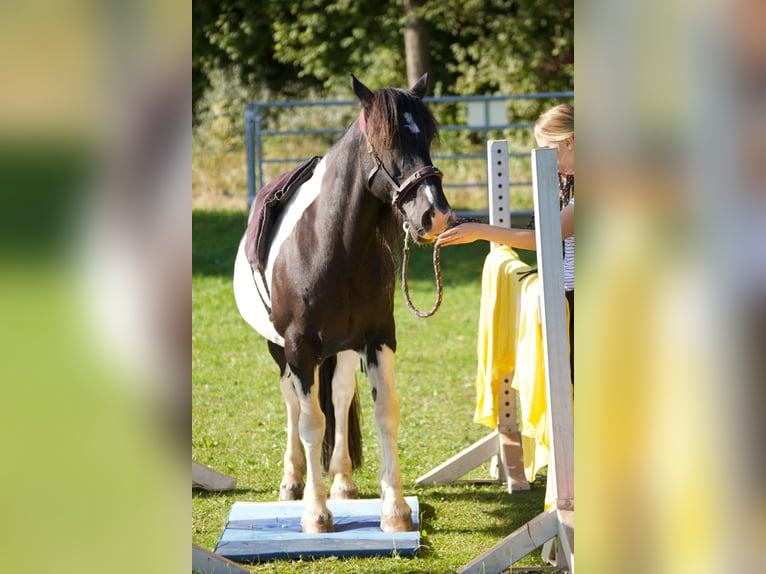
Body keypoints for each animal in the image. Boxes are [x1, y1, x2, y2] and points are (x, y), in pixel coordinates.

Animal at [233, 73, 453, 533]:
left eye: (426, 137)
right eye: (386, 141)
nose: (435, 216)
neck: (334, 245)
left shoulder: (377, 339)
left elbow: (384, 412)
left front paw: (394, 510)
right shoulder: (298, 348)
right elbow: (310, 422)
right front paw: (316, 514)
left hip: (345, 350)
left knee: (338, 394)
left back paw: (343, 481)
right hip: (279, 350)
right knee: (294, 404)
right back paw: (293, 480)